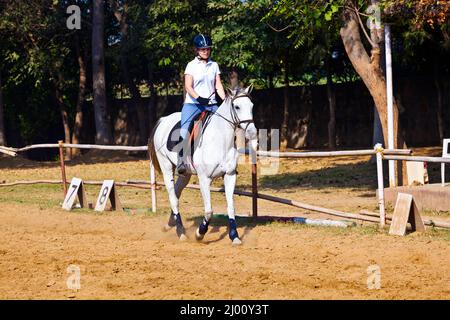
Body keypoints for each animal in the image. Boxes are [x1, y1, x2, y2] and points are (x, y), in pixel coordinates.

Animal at [149, 85, 256, 245]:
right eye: (237, 106)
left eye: (251, 106)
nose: (252, 132)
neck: (220, 140)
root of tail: (163, 120)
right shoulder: (204, 179)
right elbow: (209, 211)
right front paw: (200, 233)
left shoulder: (230, 175)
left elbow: (231, 207)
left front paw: (234, 236)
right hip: (166, 166)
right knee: (173, 198)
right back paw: (180, 232)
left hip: (185, 174)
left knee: (177, 193)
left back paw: (169, 225)